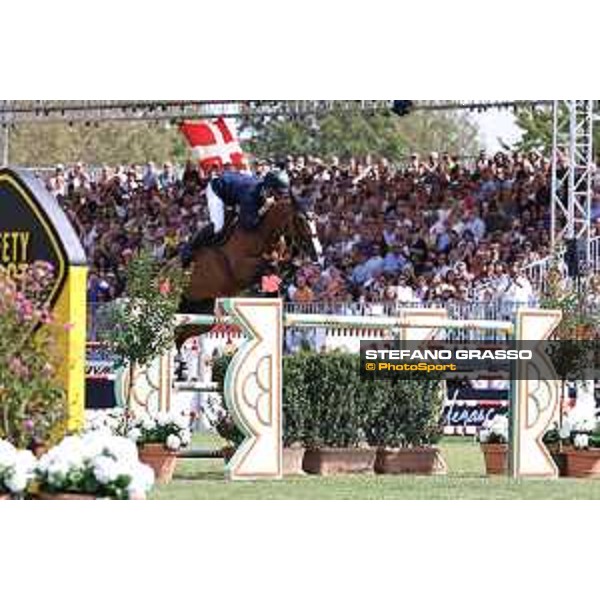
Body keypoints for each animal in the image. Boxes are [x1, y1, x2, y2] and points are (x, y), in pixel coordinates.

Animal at [175, 192, 324, 352]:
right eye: (300, 219)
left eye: (315, 218)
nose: (318, 253)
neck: (264, 234)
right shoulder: (241, 270)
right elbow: (270, 265)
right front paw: (267, 286)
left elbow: (289, 265)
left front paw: (279, 285)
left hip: (202, 312)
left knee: (180, 335)